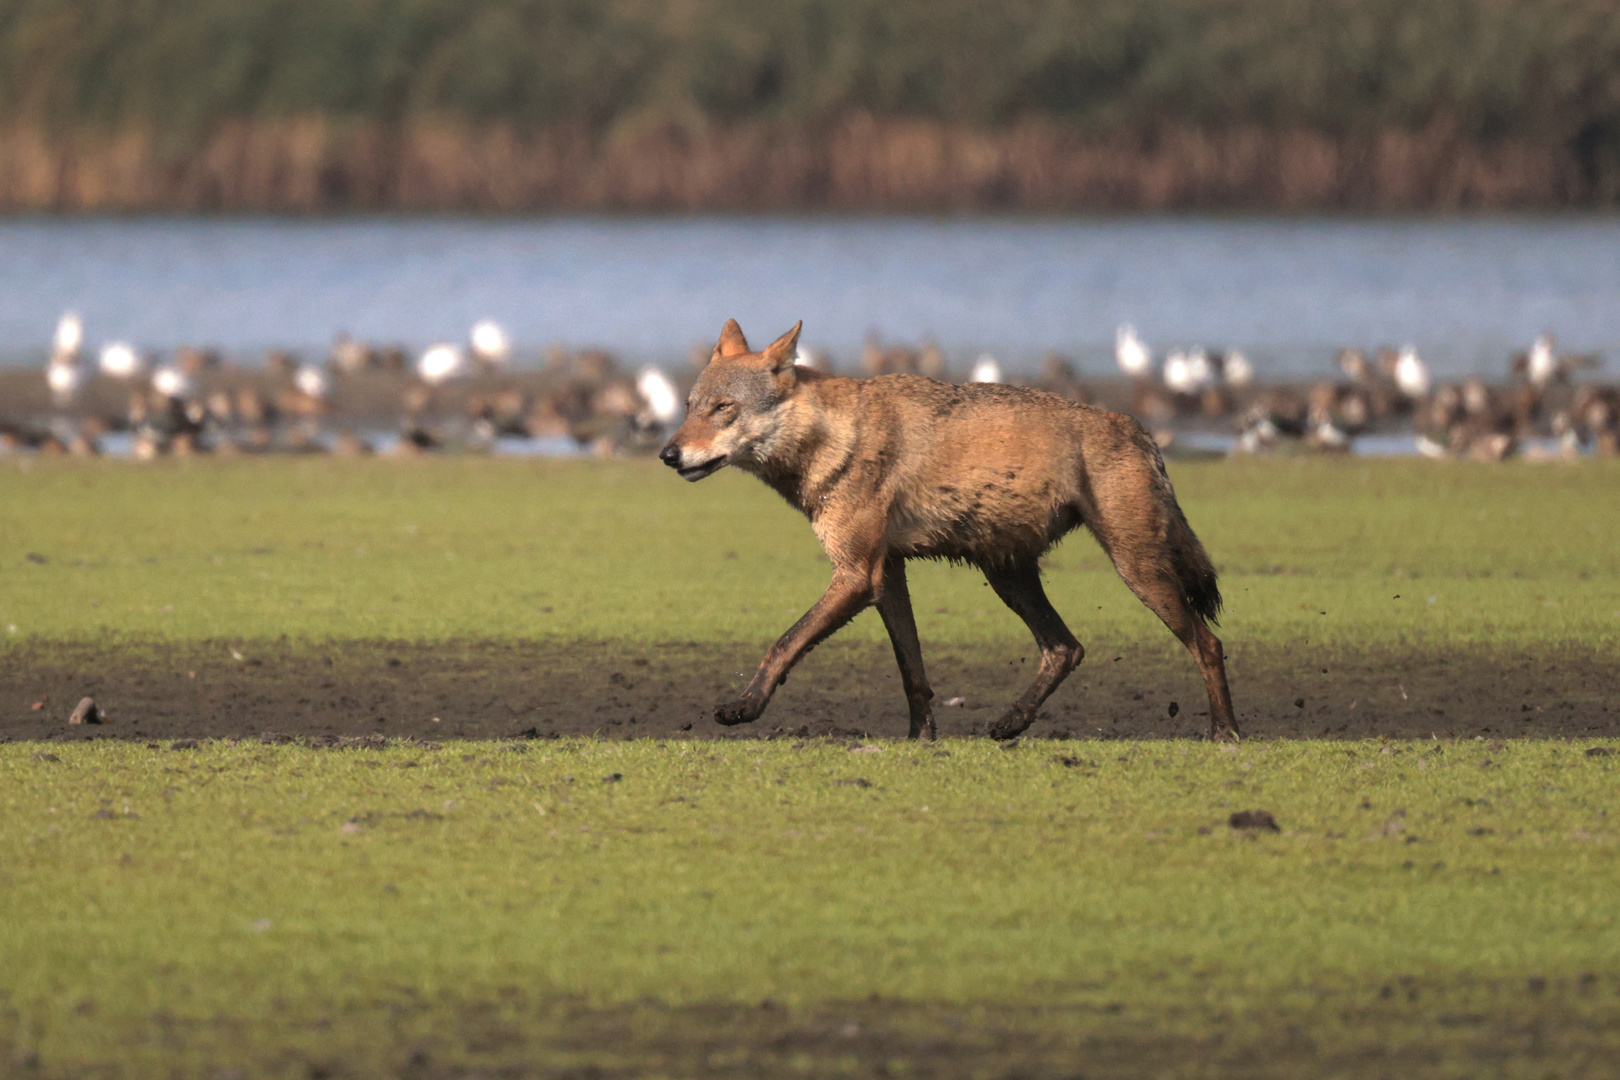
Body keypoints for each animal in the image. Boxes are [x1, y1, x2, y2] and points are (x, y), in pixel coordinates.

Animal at [657, 320, 1237, 744]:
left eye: (723, 409)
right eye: (688, 408)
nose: (667, 454)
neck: (835, 438)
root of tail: (1141, 429)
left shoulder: (856, 575)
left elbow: (783, 643)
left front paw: (744, 707)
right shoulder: (886, 576)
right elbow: (912, 671)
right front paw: (922, 738)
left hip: (1136, 572)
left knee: (1208, 643)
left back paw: (1225, 733)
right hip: (1008, 576)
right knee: (1066, 649)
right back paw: (1012, 721)